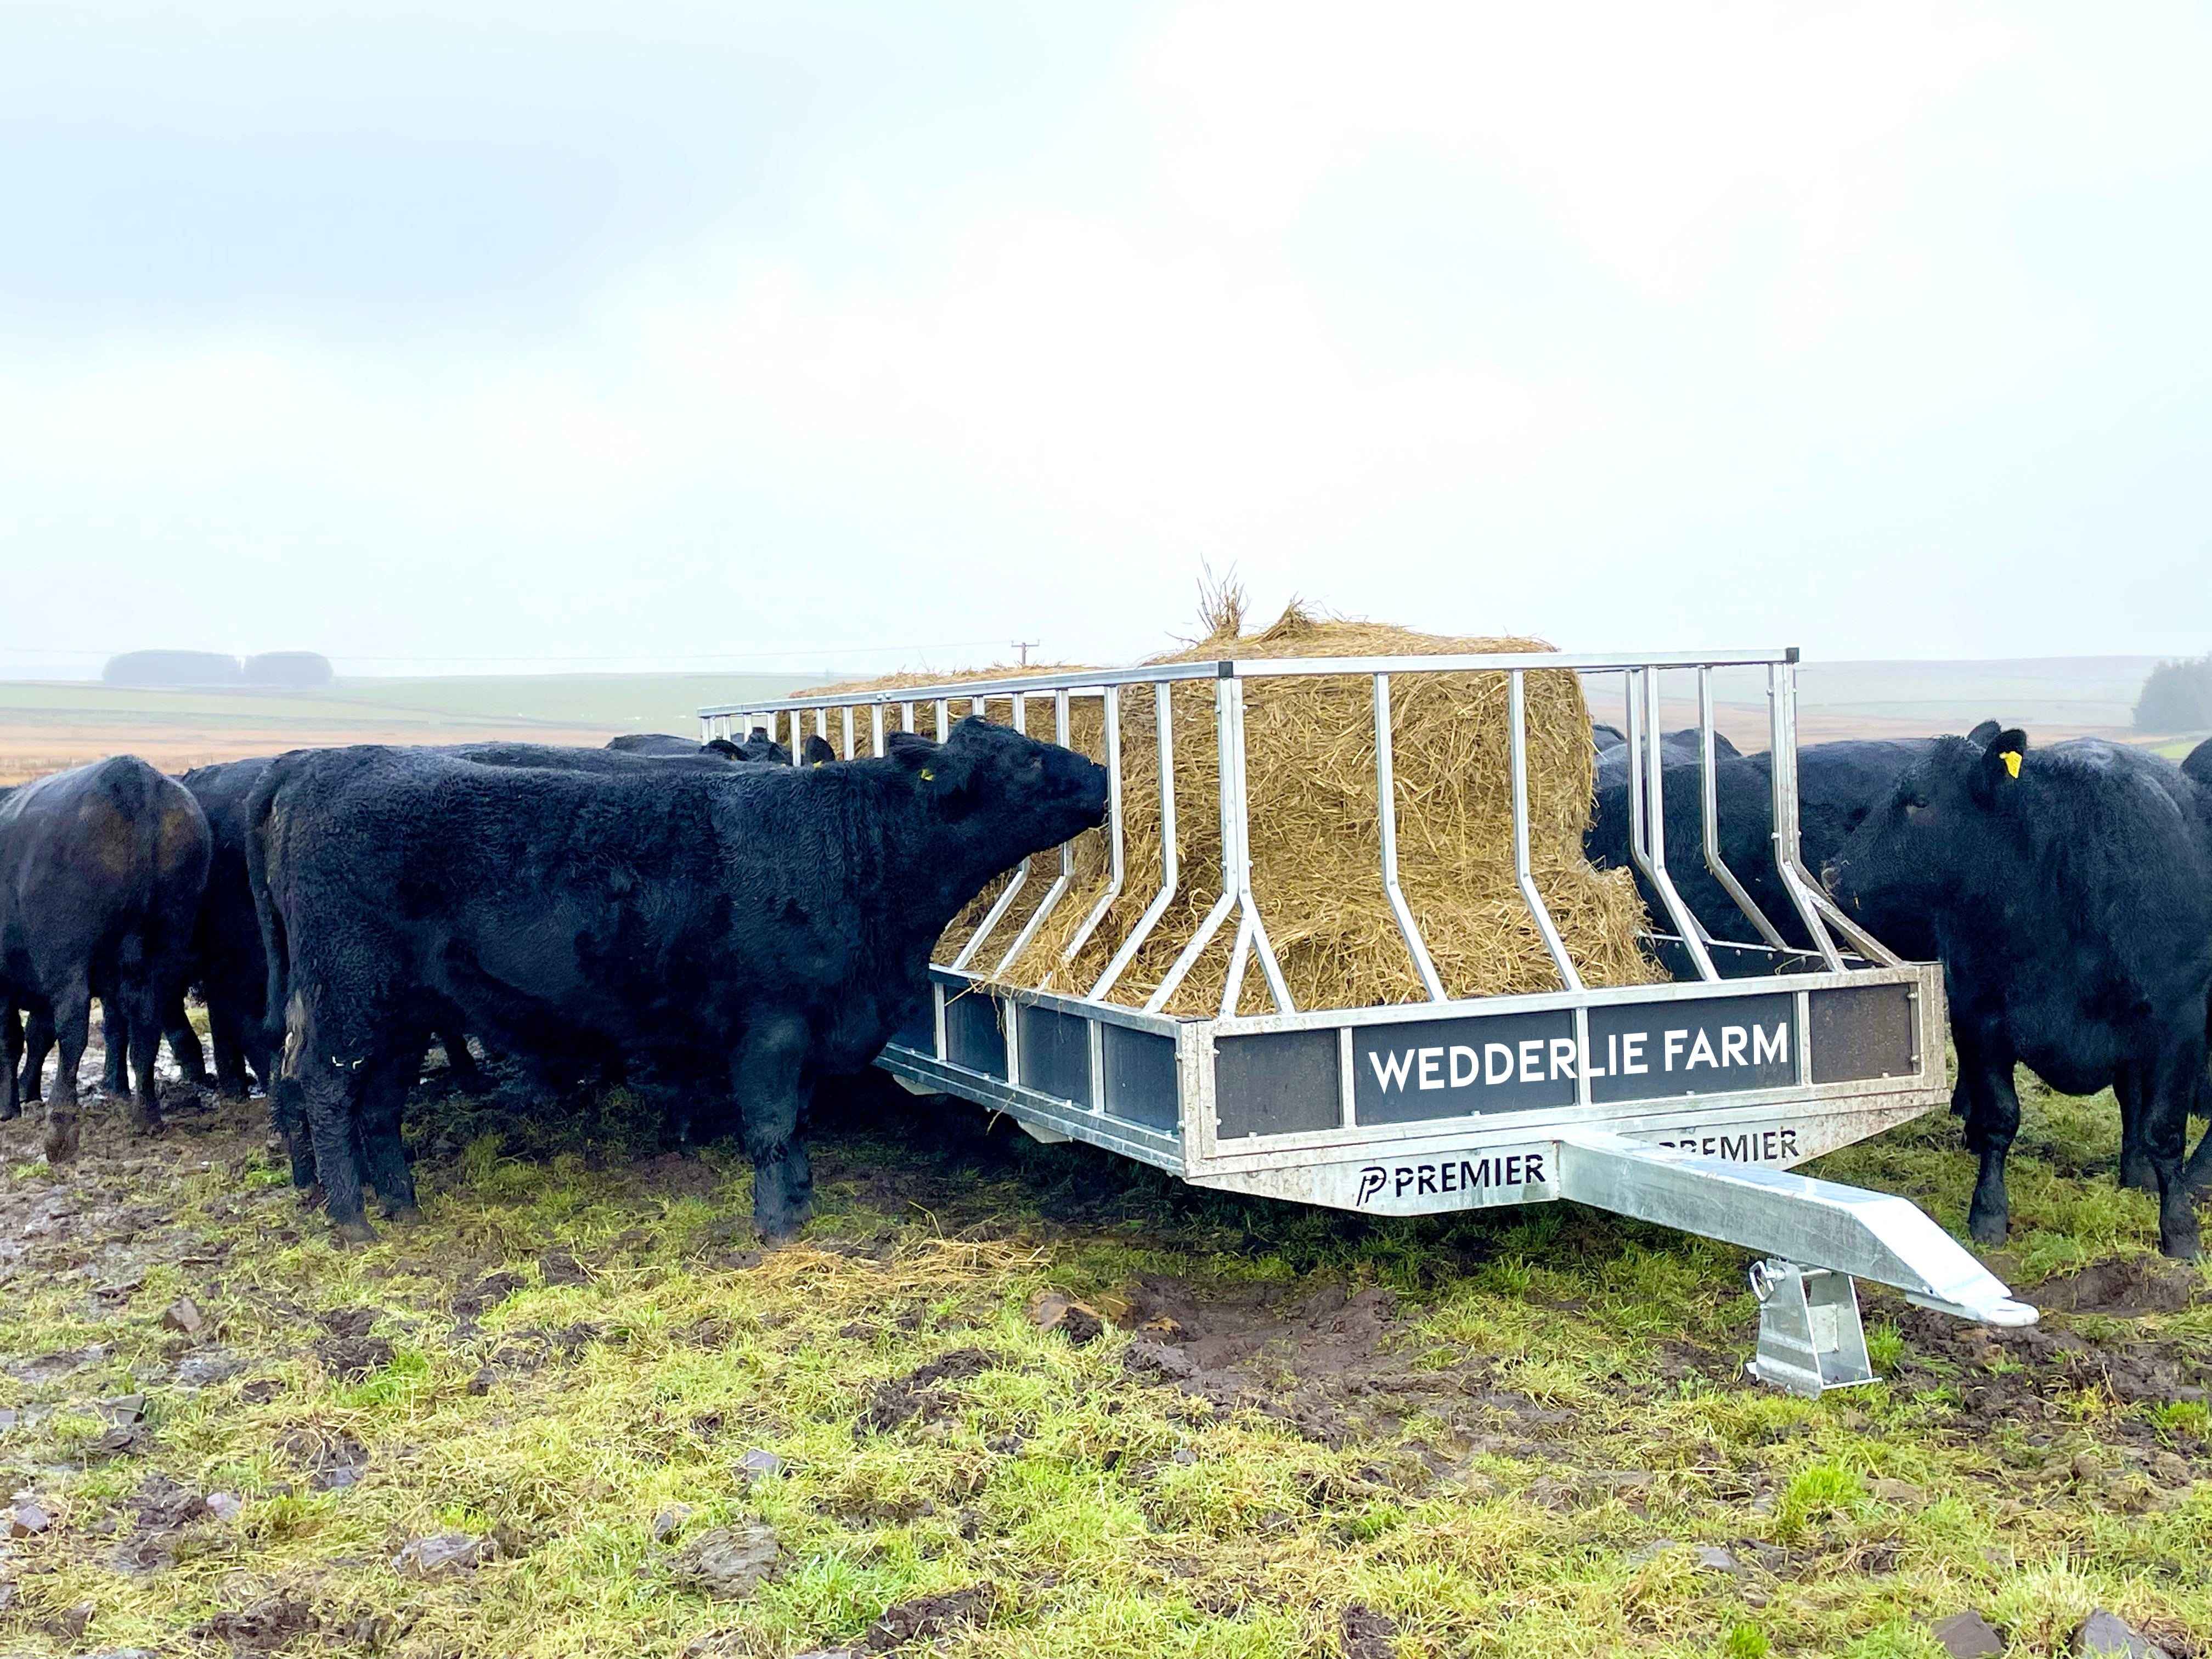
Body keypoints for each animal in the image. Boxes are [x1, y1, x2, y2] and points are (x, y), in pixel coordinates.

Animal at [0, 757, 211, 1162]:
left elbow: (14, 1040)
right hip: (164, 949)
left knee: (73, 1029)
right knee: (146, 1027)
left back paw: (61, 1126)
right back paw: (147, 1116)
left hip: (69, 960)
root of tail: (132, 778)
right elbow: (36, 1037)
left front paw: (9, 1106)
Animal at [248, 716, 1108, 1241]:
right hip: (348, 993)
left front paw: (801, 1203)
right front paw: (775, 1228)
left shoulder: (812, 1026)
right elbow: (768, 1125)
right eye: (1029, 758)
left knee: (380, 1098)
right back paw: (350, 1218)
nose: (1102, 774)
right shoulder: (770, 1025)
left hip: (402, 1008)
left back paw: (400, 1203)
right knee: (326, 1086)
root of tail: (319, 763)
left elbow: (799, 1120)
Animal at [1826, 727, 2212, 1258]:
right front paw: (1988, 1213)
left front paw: (2180, 1230)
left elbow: (2165, 1129)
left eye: (1919, 801)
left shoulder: (2179, 1022)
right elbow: (1999, 1118)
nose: (1833, 872)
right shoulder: (1978, 1014)